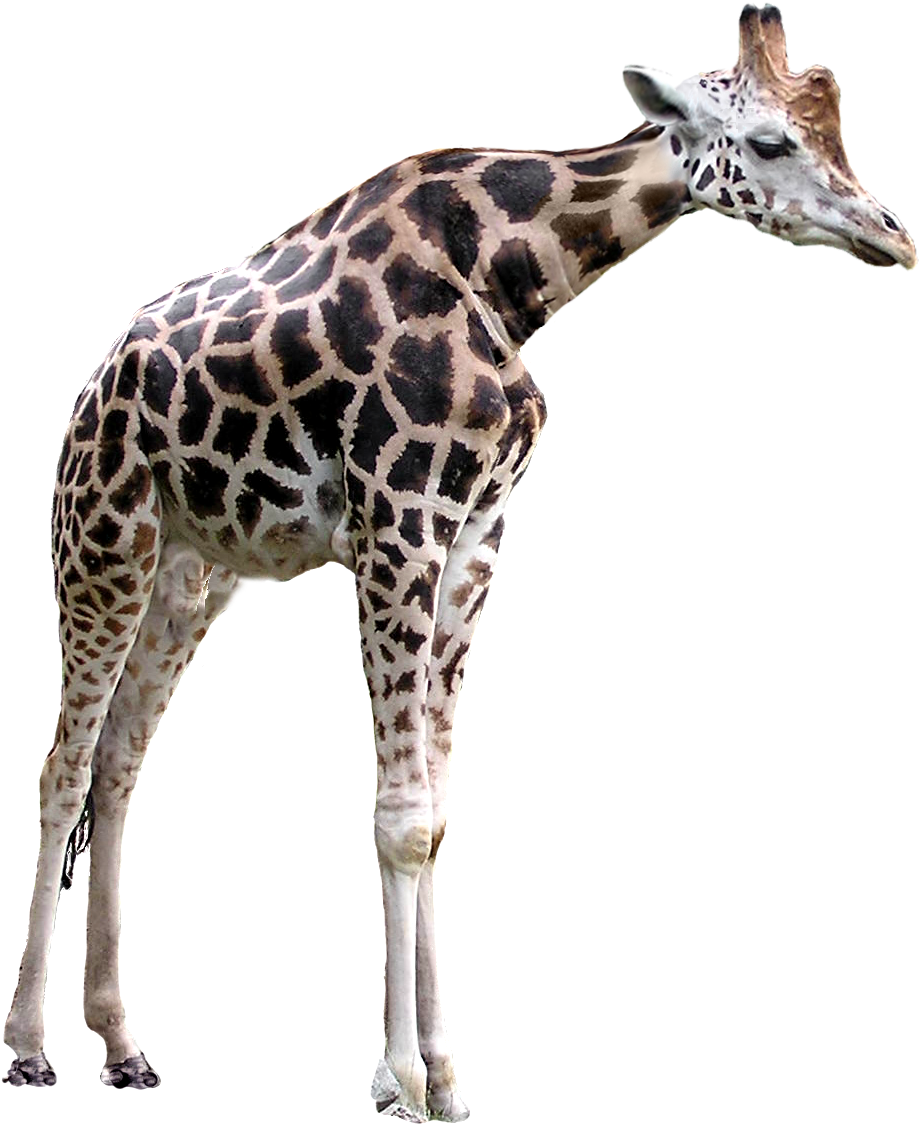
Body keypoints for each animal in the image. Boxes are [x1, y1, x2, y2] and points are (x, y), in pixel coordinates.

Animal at [4, 3, 914, 1117]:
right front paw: (398, 1075)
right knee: (63, 766)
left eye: (837, 135)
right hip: (101, 539)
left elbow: (434, 809)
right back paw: (29, 1045)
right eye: (773, 142)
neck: (516, 274)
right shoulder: (400, 518)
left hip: (192, 578)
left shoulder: (476, 535)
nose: (895, 238)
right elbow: (399, 815)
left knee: (121, 766)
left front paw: (442, 1074)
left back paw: (123, 1043)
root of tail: (92, 387)